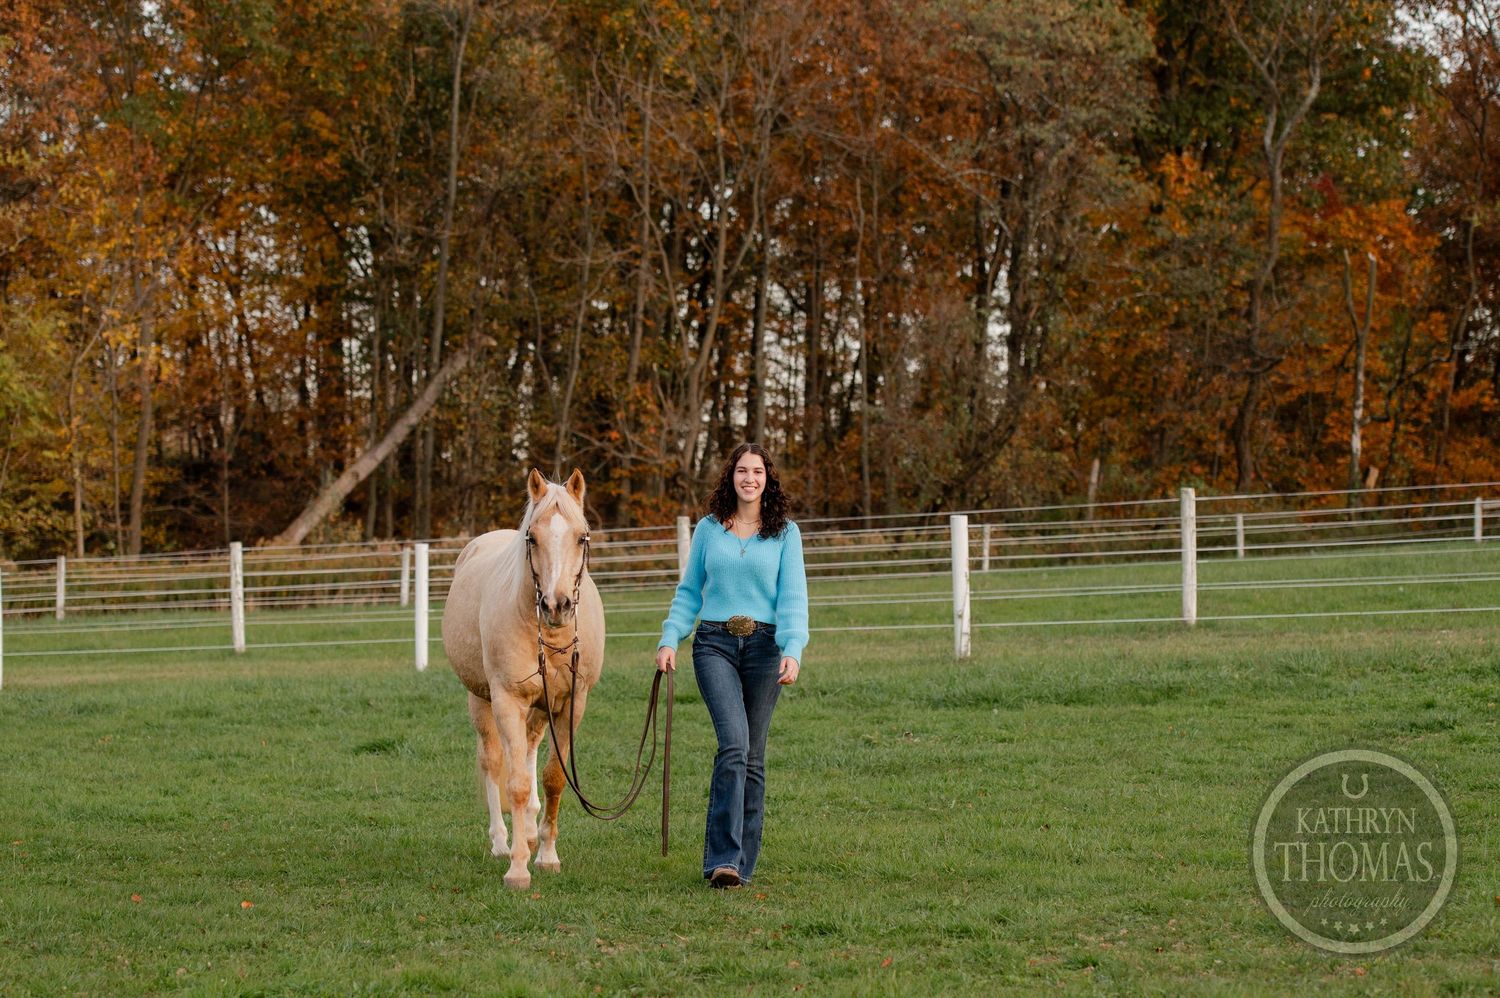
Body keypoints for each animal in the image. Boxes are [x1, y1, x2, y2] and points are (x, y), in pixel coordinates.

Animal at [441, 468, 603, 890]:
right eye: (532, 537)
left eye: (582, 537)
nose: (556, 605)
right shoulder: (507, 700)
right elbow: (513, 783)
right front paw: (517, 868)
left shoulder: (571, 703)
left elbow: (552, 779)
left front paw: (546, 855)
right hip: (481, 700)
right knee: (493, 762)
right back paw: (503, 840)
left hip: (540, 708)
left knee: (529, 752)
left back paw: (529, 832)